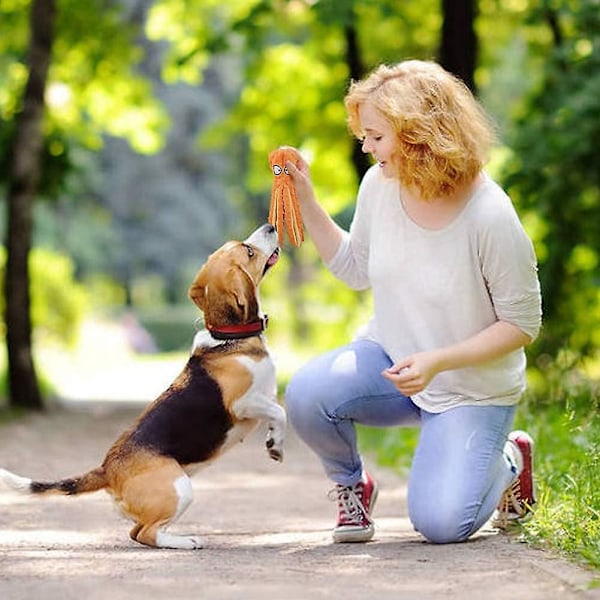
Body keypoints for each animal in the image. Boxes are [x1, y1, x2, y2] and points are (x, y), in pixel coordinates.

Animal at [0, 224, 286, 548]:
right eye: (248, 251)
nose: (270, 226)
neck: (228, 338)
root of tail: (107, 469)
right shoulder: (243, 403)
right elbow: (280, 412)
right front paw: (276, 446)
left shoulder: (263, 398)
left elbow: (277, 412)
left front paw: (273, 441)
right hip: (180, 488)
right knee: (147, 533)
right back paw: (186, 541)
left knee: (136, 532)